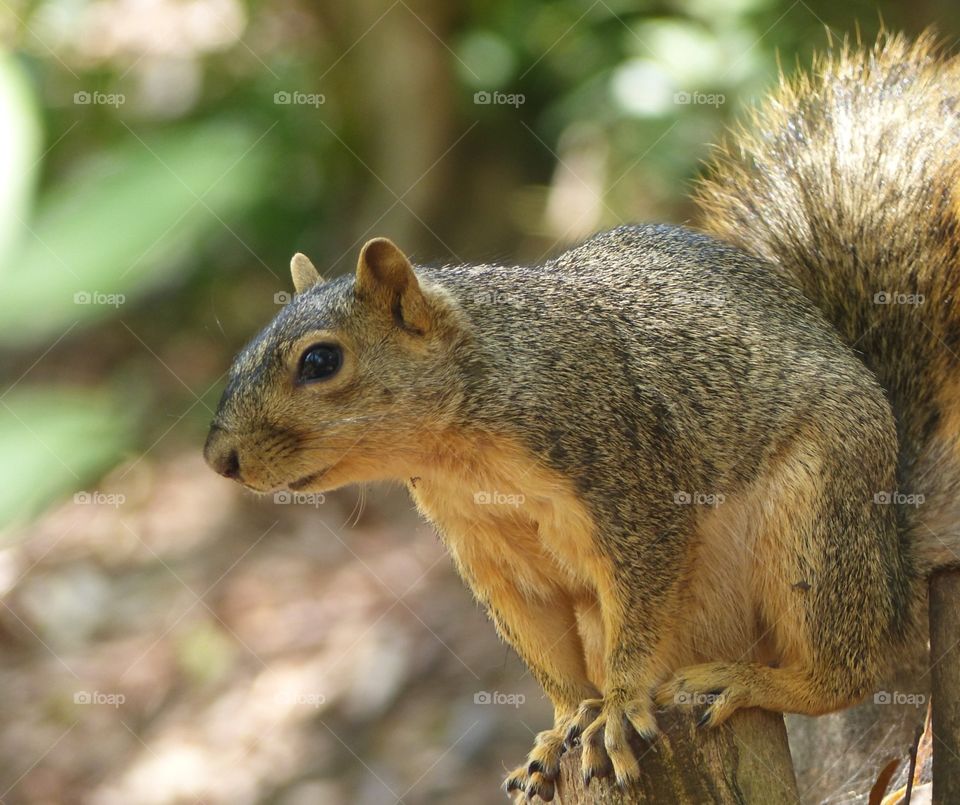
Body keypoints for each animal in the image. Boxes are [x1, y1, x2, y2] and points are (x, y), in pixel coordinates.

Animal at [208, 28, 960, 800]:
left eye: (321, 361)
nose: (219, 457)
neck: (460, 453)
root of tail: (893, 568)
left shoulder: (633, 487)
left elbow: (641, 600)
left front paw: (620, 705)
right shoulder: (493, 553)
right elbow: (545, 648)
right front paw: (564, 723)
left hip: (815, 520)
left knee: (845, 672)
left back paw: (747, 681)